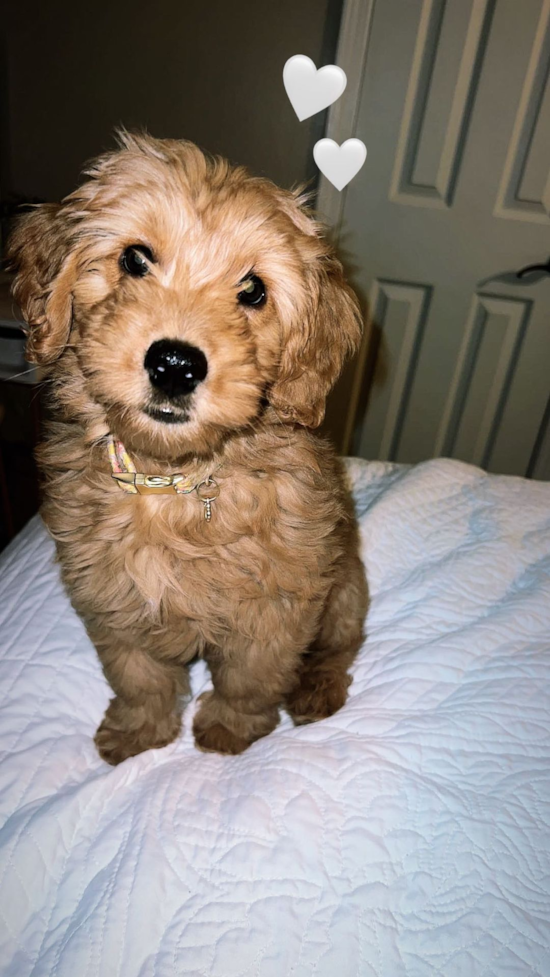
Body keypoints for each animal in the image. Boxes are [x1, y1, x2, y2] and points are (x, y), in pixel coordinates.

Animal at [7, 132, 370, 764]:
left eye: (253, 290)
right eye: (134, 259)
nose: (175, 364)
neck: (169, 481)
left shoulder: (276, 610)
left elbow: (250, 680)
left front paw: (229, 732)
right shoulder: (113, 600)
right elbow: (139, 676)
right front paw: (139, 732)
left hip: (344, 587)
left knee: (340, 646)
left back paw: (316, 689)